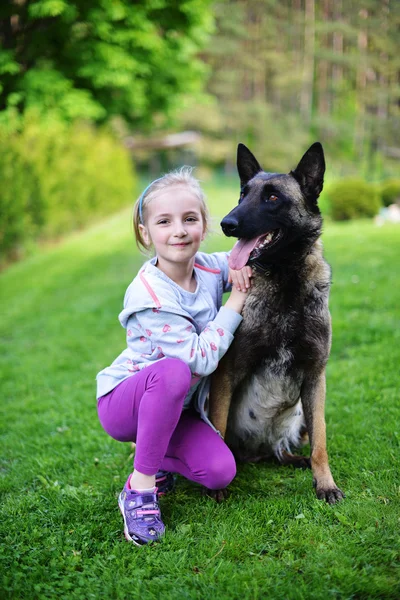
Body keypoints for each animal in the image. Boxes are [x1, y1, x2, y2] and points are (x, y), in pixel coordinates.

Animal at [209, 143, 344, 504]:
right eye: (243, 194)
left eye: (272, 197)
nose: (227, 223)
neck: (286, 283)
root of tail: (260, 451)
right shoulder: (227, 374)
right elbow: (217, 431)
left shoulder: (315, 378)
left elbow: (321, 443)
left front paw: (325, 484)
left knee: (290, 447)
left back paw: (294, 459)